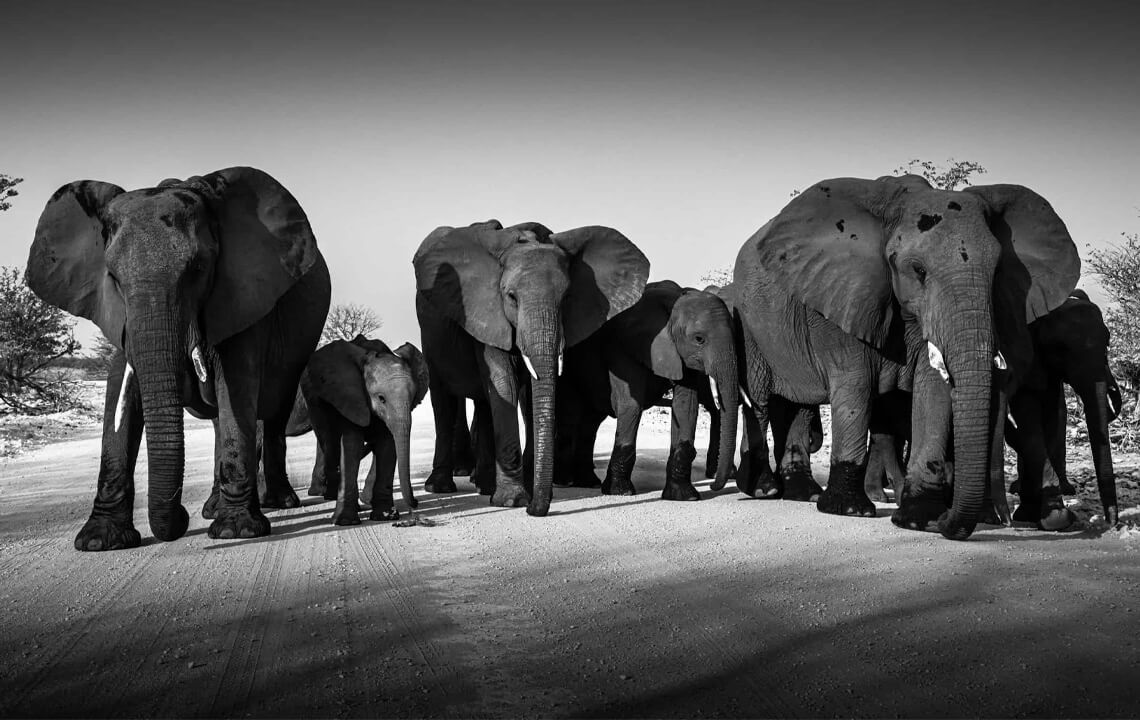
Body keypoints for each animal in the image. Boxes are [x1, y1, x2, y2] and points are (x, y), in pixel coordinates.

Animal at [27, 167, 331, 549]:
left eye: (199, 269)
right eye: (113, 277)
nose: (182, 519)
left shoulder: (244, 293)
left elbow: (236, 385)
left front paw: (237, 531)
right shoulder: (116, 314)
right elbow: (120, 391)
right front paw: (99, 542)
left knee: (272, 410)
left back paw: (278, 503)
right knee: (220, 419)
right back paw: (213, 508)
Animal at [300, 336, 429, 524]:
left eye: (413, 398)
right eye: (381, 398)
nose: (416, 503)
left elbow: (388, 446)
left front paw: (385, 517)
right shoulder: (351, 398)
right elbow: (351, 445)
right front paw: (345, 522)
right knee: (330, 446)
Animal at [414, 220, 650, 517]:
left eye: (567, 297)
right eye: (511, 297)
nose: (534, 510)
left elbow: (528, 395)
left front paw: (523, 493)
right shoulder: (489, 314)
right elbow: (504, 383)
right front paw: (513, 502)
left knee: (484, 403)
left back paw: (485, 487)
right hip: (430, 336)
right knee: (443, 401)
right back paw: (441, 487)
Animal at [553, 280, 740, 499]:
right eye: (699, 339)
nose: (713, 485)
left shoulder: (683, 356)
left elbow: (686, 407)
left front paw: (683, 496)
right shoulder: (624, 346)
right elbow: (631, 405)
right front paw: (620, 492)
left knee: (590, 423)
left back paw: (588, 482)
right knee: (571, 414)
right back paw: (565, 481)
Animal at [732, 175, 1079, 540]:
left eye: (997, 271)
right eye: (917, 269)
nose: (949, 522)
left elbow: (932, 388)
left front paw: (918, 519)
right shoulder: (841, 297)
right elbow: (856, 384)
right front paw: (850, 510)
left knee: (801, 405)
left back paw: (804, 494)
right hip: (748, 323)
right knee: (760, 399)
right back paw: (763, 490)